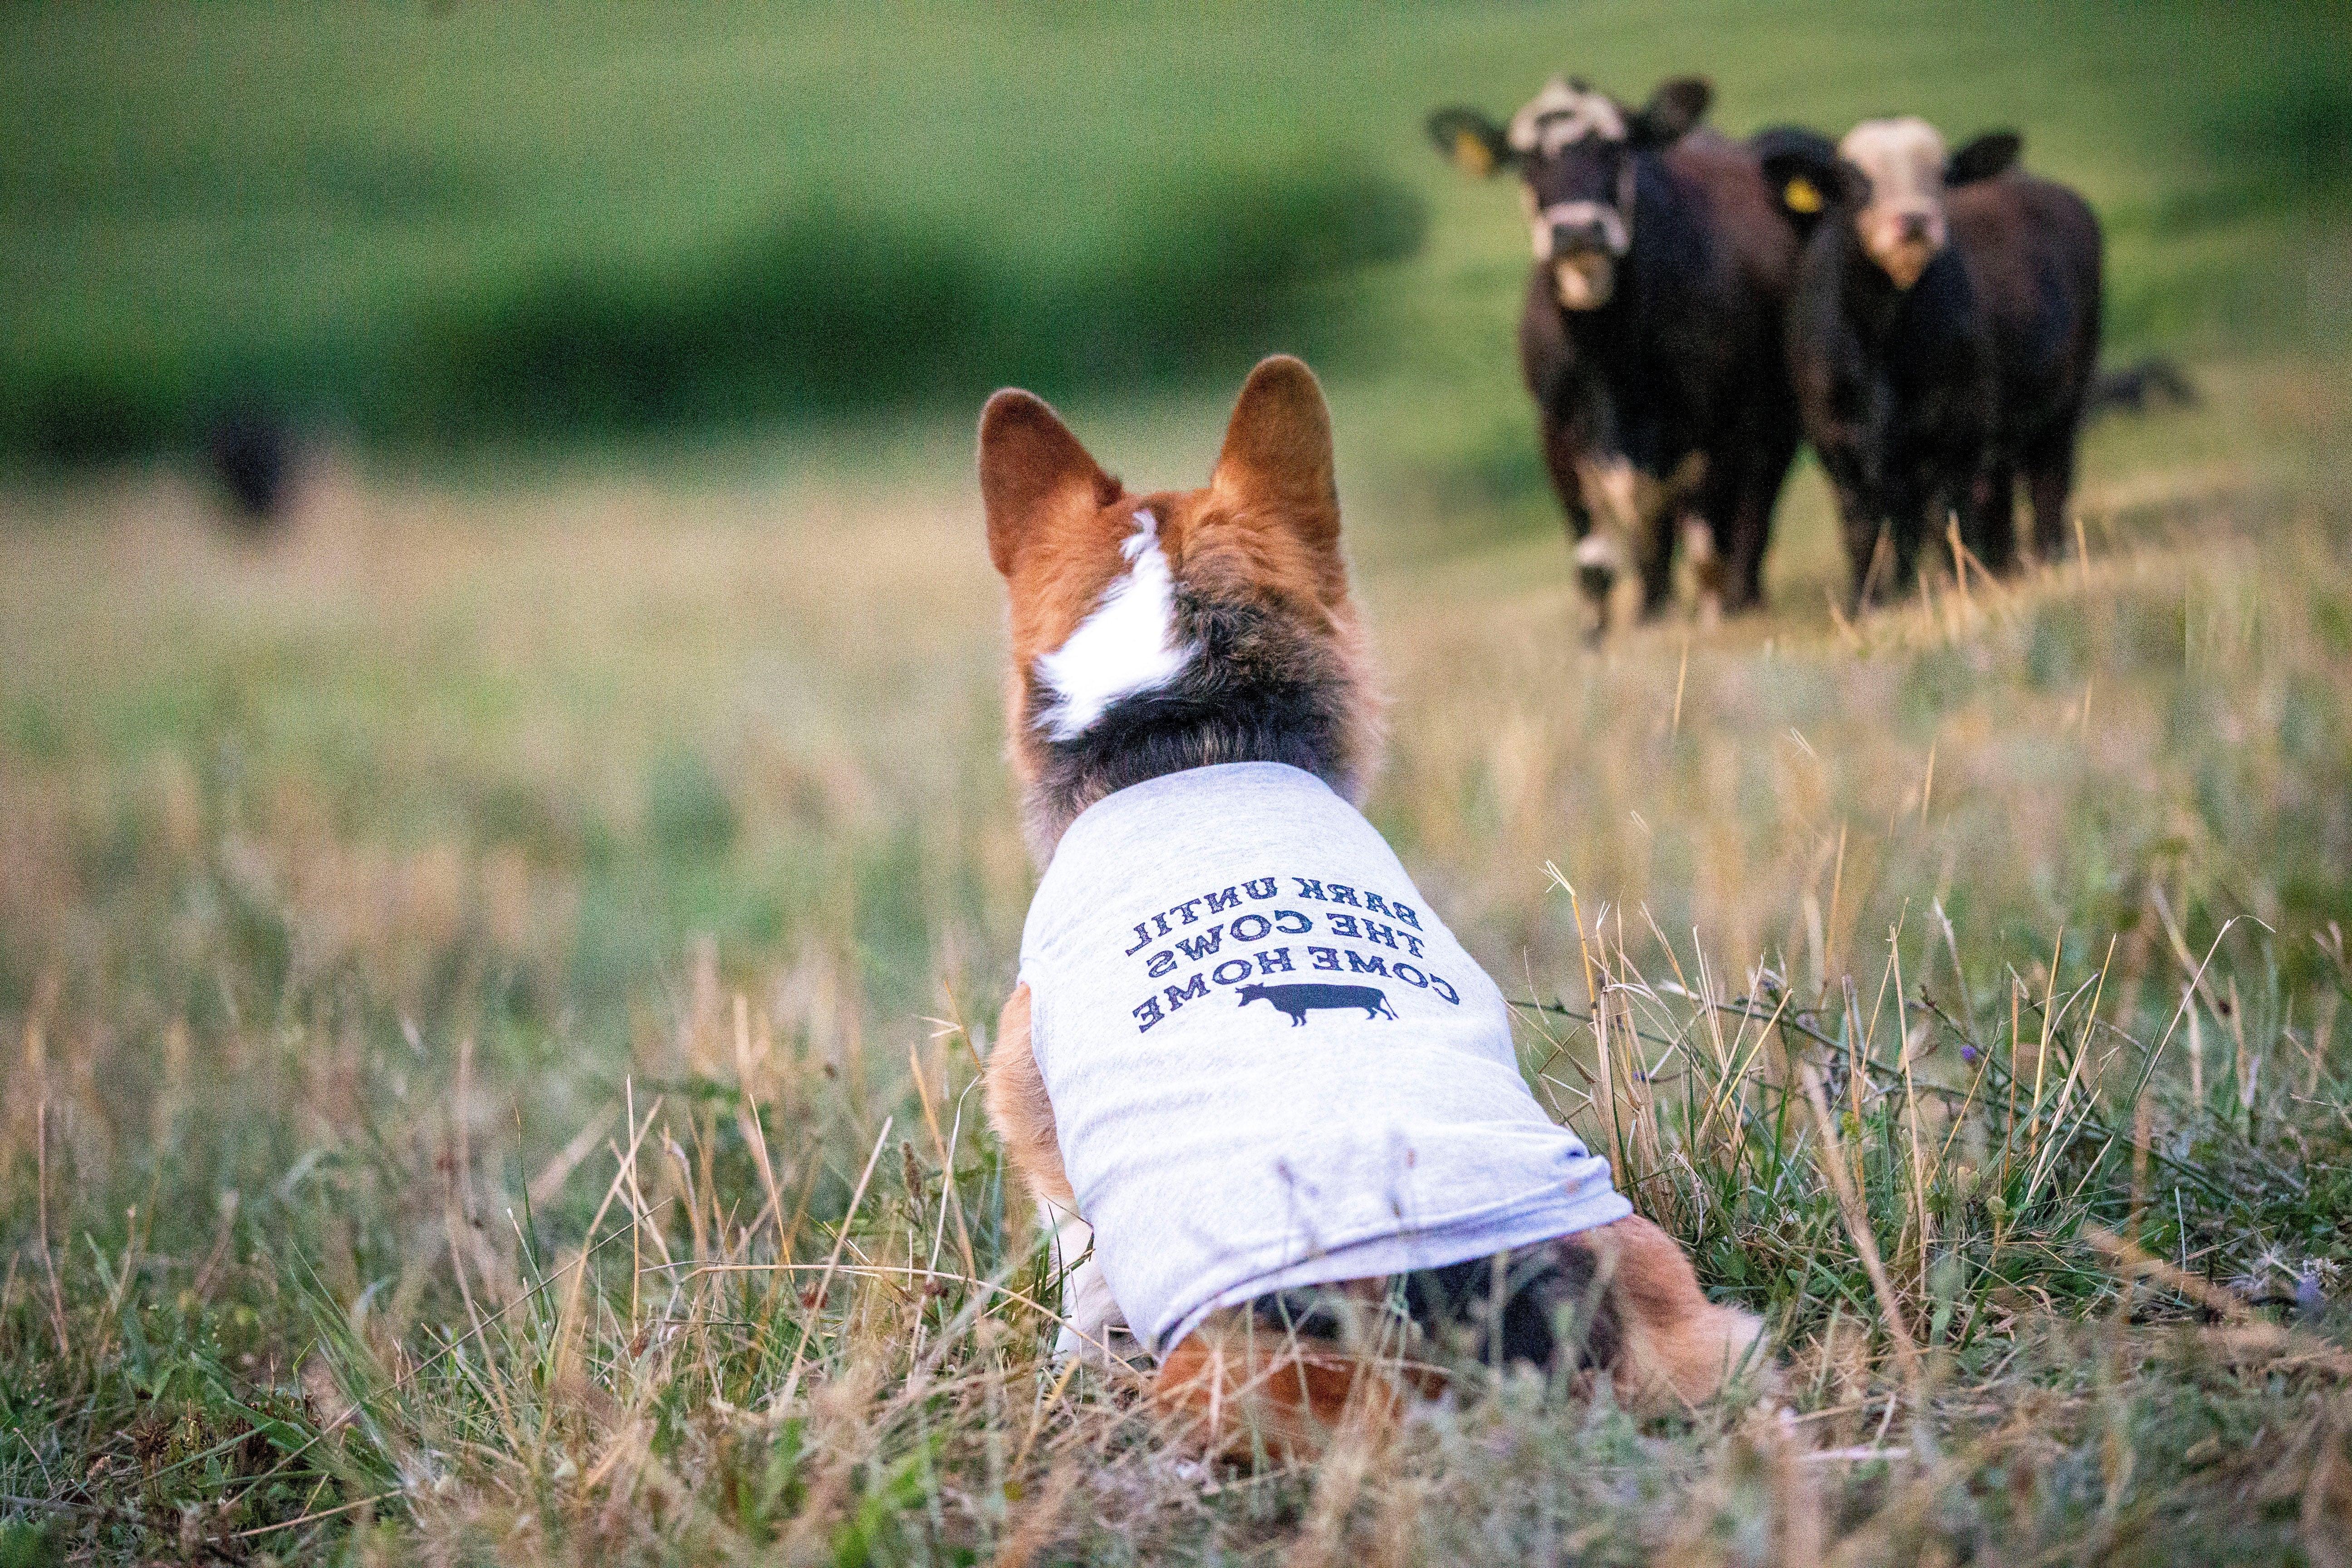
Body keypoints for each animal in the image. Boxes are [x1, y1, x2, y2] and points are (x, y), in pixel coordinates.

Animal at [1430, 72, 1797, 625]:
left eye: (1617, 148)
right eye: (1525, 160)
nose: (1578, 230)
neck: (1612, 366)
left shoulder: (1715, 427)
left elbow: (1708, 548)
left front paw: (1715, 619)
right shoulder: (1557, 431)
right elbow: (1593, 567)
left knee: (1748, 519)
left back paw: (1743, 597)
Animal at [1759, 120, 2107, 602]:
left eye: (1944, 176)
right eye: (1852, 181)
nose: (1914, 221)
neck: (1881, 346)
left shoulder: (1957, 426)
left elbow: (1946, 515)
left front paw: (1955, 586)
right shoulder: (1834, 437)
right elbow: (1862, 525)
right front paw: (1868, 600)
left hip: (2065, 402)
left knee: (2047, 482)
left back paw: (2047, 560)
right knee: (1996, 493)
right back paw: (2001, 564)